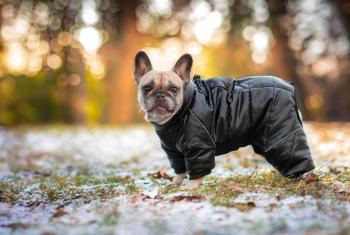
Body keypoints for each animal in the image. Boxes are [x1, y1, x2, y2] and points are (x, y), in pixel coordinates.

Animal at [133, 51, 314, 189]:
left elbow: (196, 171)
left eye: (173, 88)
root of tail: (289, 87)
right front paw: (174, 185)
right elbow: (180, 170)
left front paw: (191, 188)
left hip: (281, 135)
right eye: (147, 88)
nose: (159, 94)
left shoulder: (199, 148)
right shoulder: (173, 152)